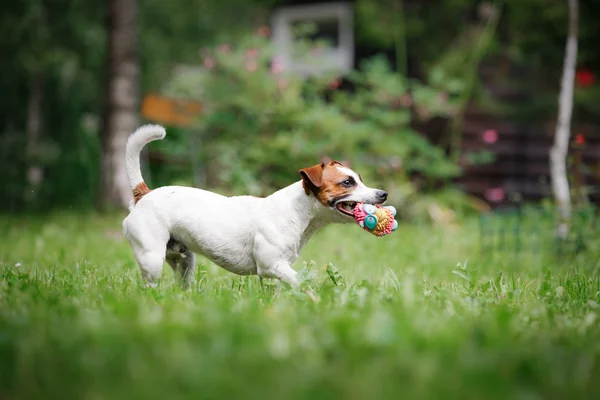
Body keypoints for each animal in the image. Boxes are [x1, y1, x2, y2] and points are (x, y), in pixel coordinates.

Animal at [122, 125, 390, 288]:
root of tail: (144, 193)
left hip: (184, 261)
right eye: (347, 182)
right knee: (150, 285)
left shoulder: (273, 274)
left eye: (360, 179)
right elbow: (300, 282)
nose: (383, 194)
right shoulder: (272, 265)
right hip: (152, 258)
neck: (296, 213)